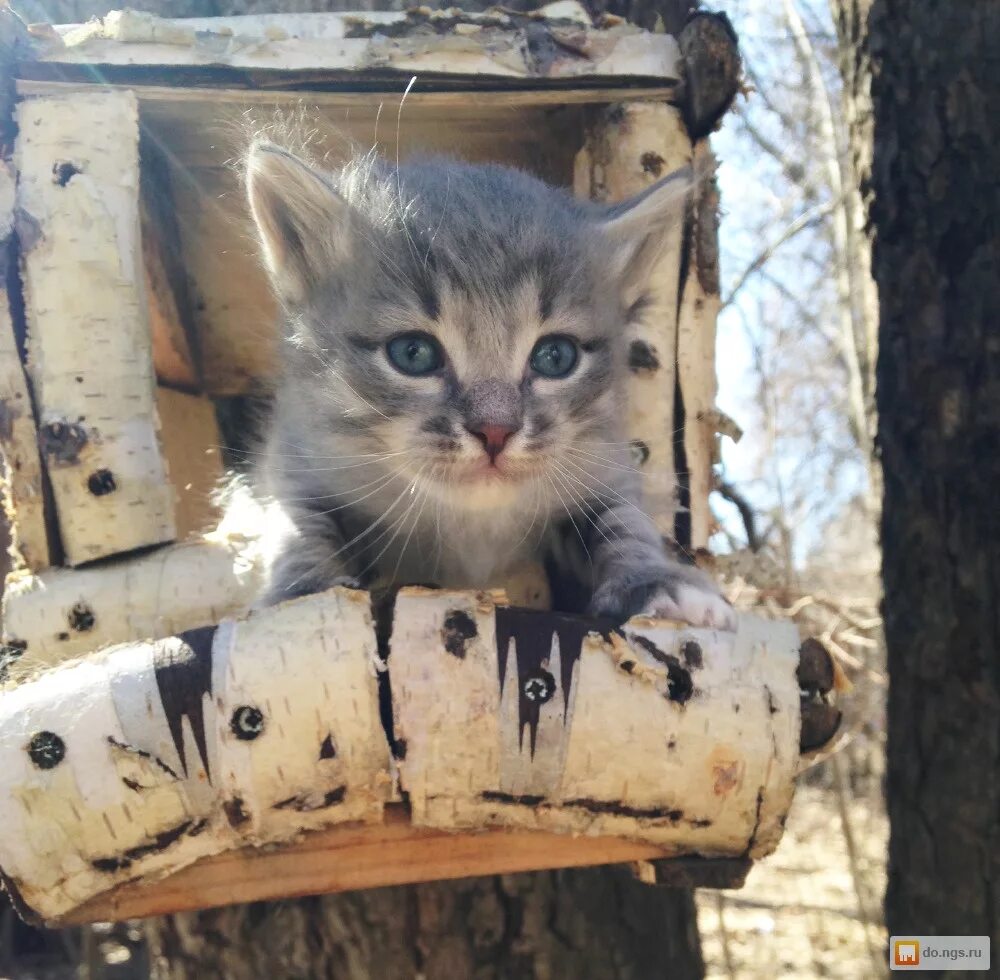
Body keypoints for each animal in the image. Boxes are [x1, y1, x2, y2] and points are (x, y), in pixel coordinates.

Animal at [242, 140, 736, 628]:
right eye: (413, 353)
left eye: (555, 356)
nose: (495, 431)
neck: (471, 526)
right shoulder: (292, 461)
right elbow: (295, 526)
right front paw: (302, 588)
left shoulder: (603, 465)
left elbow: (623, 522)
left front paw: (653, 581)